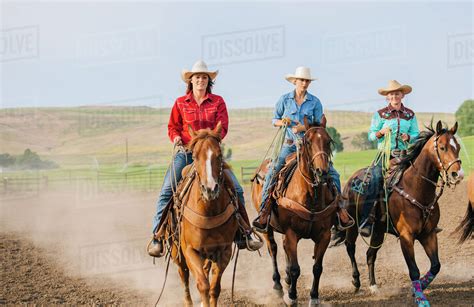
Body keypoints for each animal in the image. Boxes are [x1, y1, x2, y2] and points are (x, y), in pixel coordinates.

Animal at [168, 122, 241, 307]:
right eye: (194, 156)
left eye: (219, 155)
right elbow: (203, 285)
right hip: (177, 251)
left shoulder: (224, 250)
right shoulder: (189, 250)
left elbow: (214, 288)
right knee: (183, 275)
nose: (210, 189)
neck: (209, 212)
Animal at [252, 119, 336, 306]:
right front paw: (291, 296)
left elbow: (317, 268)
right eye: (308, 142)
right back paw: (278, 286)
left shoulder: (324, 235)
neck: (310, 194)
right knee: (273, 250)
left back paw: (286, 281)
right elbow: (295, 269)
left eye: (329, 141)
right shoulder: (291, 233)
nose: (322, 172)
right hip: (267, 228)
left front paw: (314, 297)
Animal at [340, 121, 462, 306]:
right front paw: (421, 299)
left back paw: (373, 286)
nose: (458, 174)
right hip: (352, 224)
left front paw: (417, 289)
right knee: (350, 247)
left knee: (370, 255)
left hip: (379, 230)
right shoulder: (406, 237)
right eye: (442, 147)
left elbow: (436, 266)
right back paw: (356, 281)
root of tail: (350, 180)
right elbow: (414, 270)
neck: (415, 188)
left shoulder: (429, 234)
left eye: (458, 147)